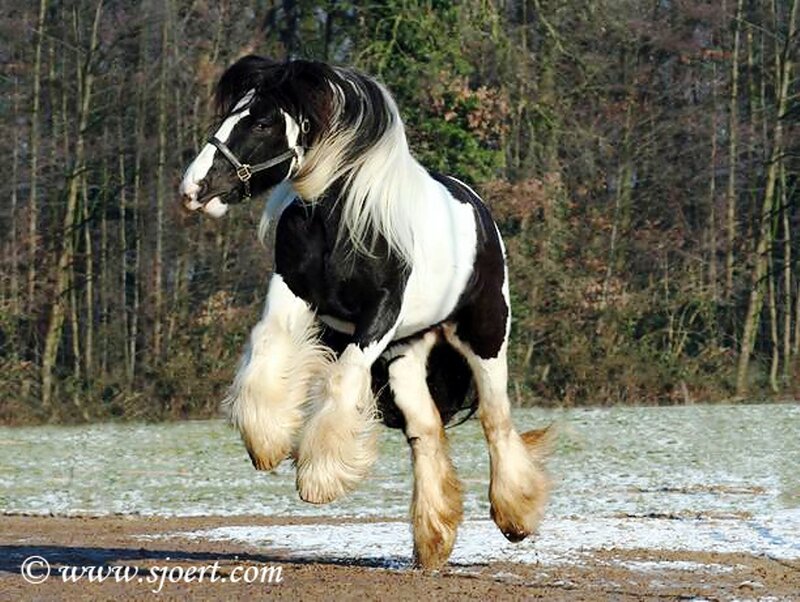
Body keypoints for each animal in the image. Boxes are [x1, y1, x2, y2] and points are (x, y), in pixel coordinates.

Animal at [179, 56, 551, 569]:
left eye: (262, 121)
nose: (193, 189)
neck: (340, 222)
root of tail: (478, 209)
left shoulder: (380, 314)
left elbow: (343, 376)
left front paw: (319, 477)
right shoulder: (292, 291)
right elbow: (269, 347)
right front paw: (266, 441)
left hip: (486, 338)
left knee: (497, 423)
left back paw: (514, 516)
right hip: (404, 355)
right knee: (426, 432)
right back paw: (432, 540)